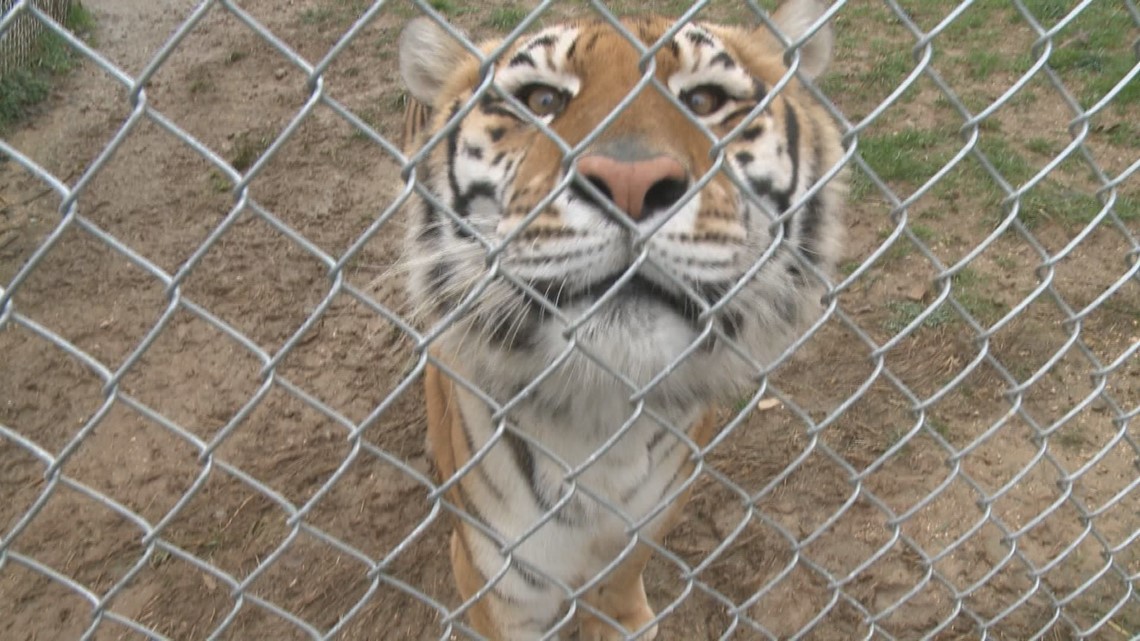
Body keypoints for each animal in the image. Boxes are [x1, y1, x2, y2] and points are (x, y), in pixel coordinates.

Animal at [399, 2, 848, 634]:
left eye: (703, 100)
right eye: (541, 100)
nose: (630, 184)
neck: (605, 421)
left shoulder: (656, 510)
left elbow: (622, 571)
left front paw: (624, 622)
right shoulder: (493, 573)